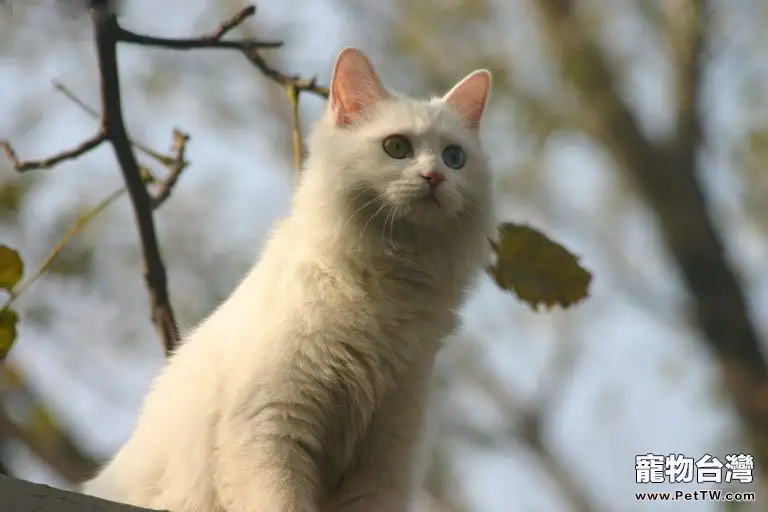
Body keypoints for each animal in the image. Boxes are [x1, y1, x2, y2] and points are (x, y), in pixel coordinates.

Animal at [81, 48, 496, 512]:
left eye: (454, 157)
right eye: (396, 148)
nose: (435, 177)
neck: (390, 290)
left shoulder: (386, 452)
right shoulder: (271, 423)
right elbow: (280, 502)